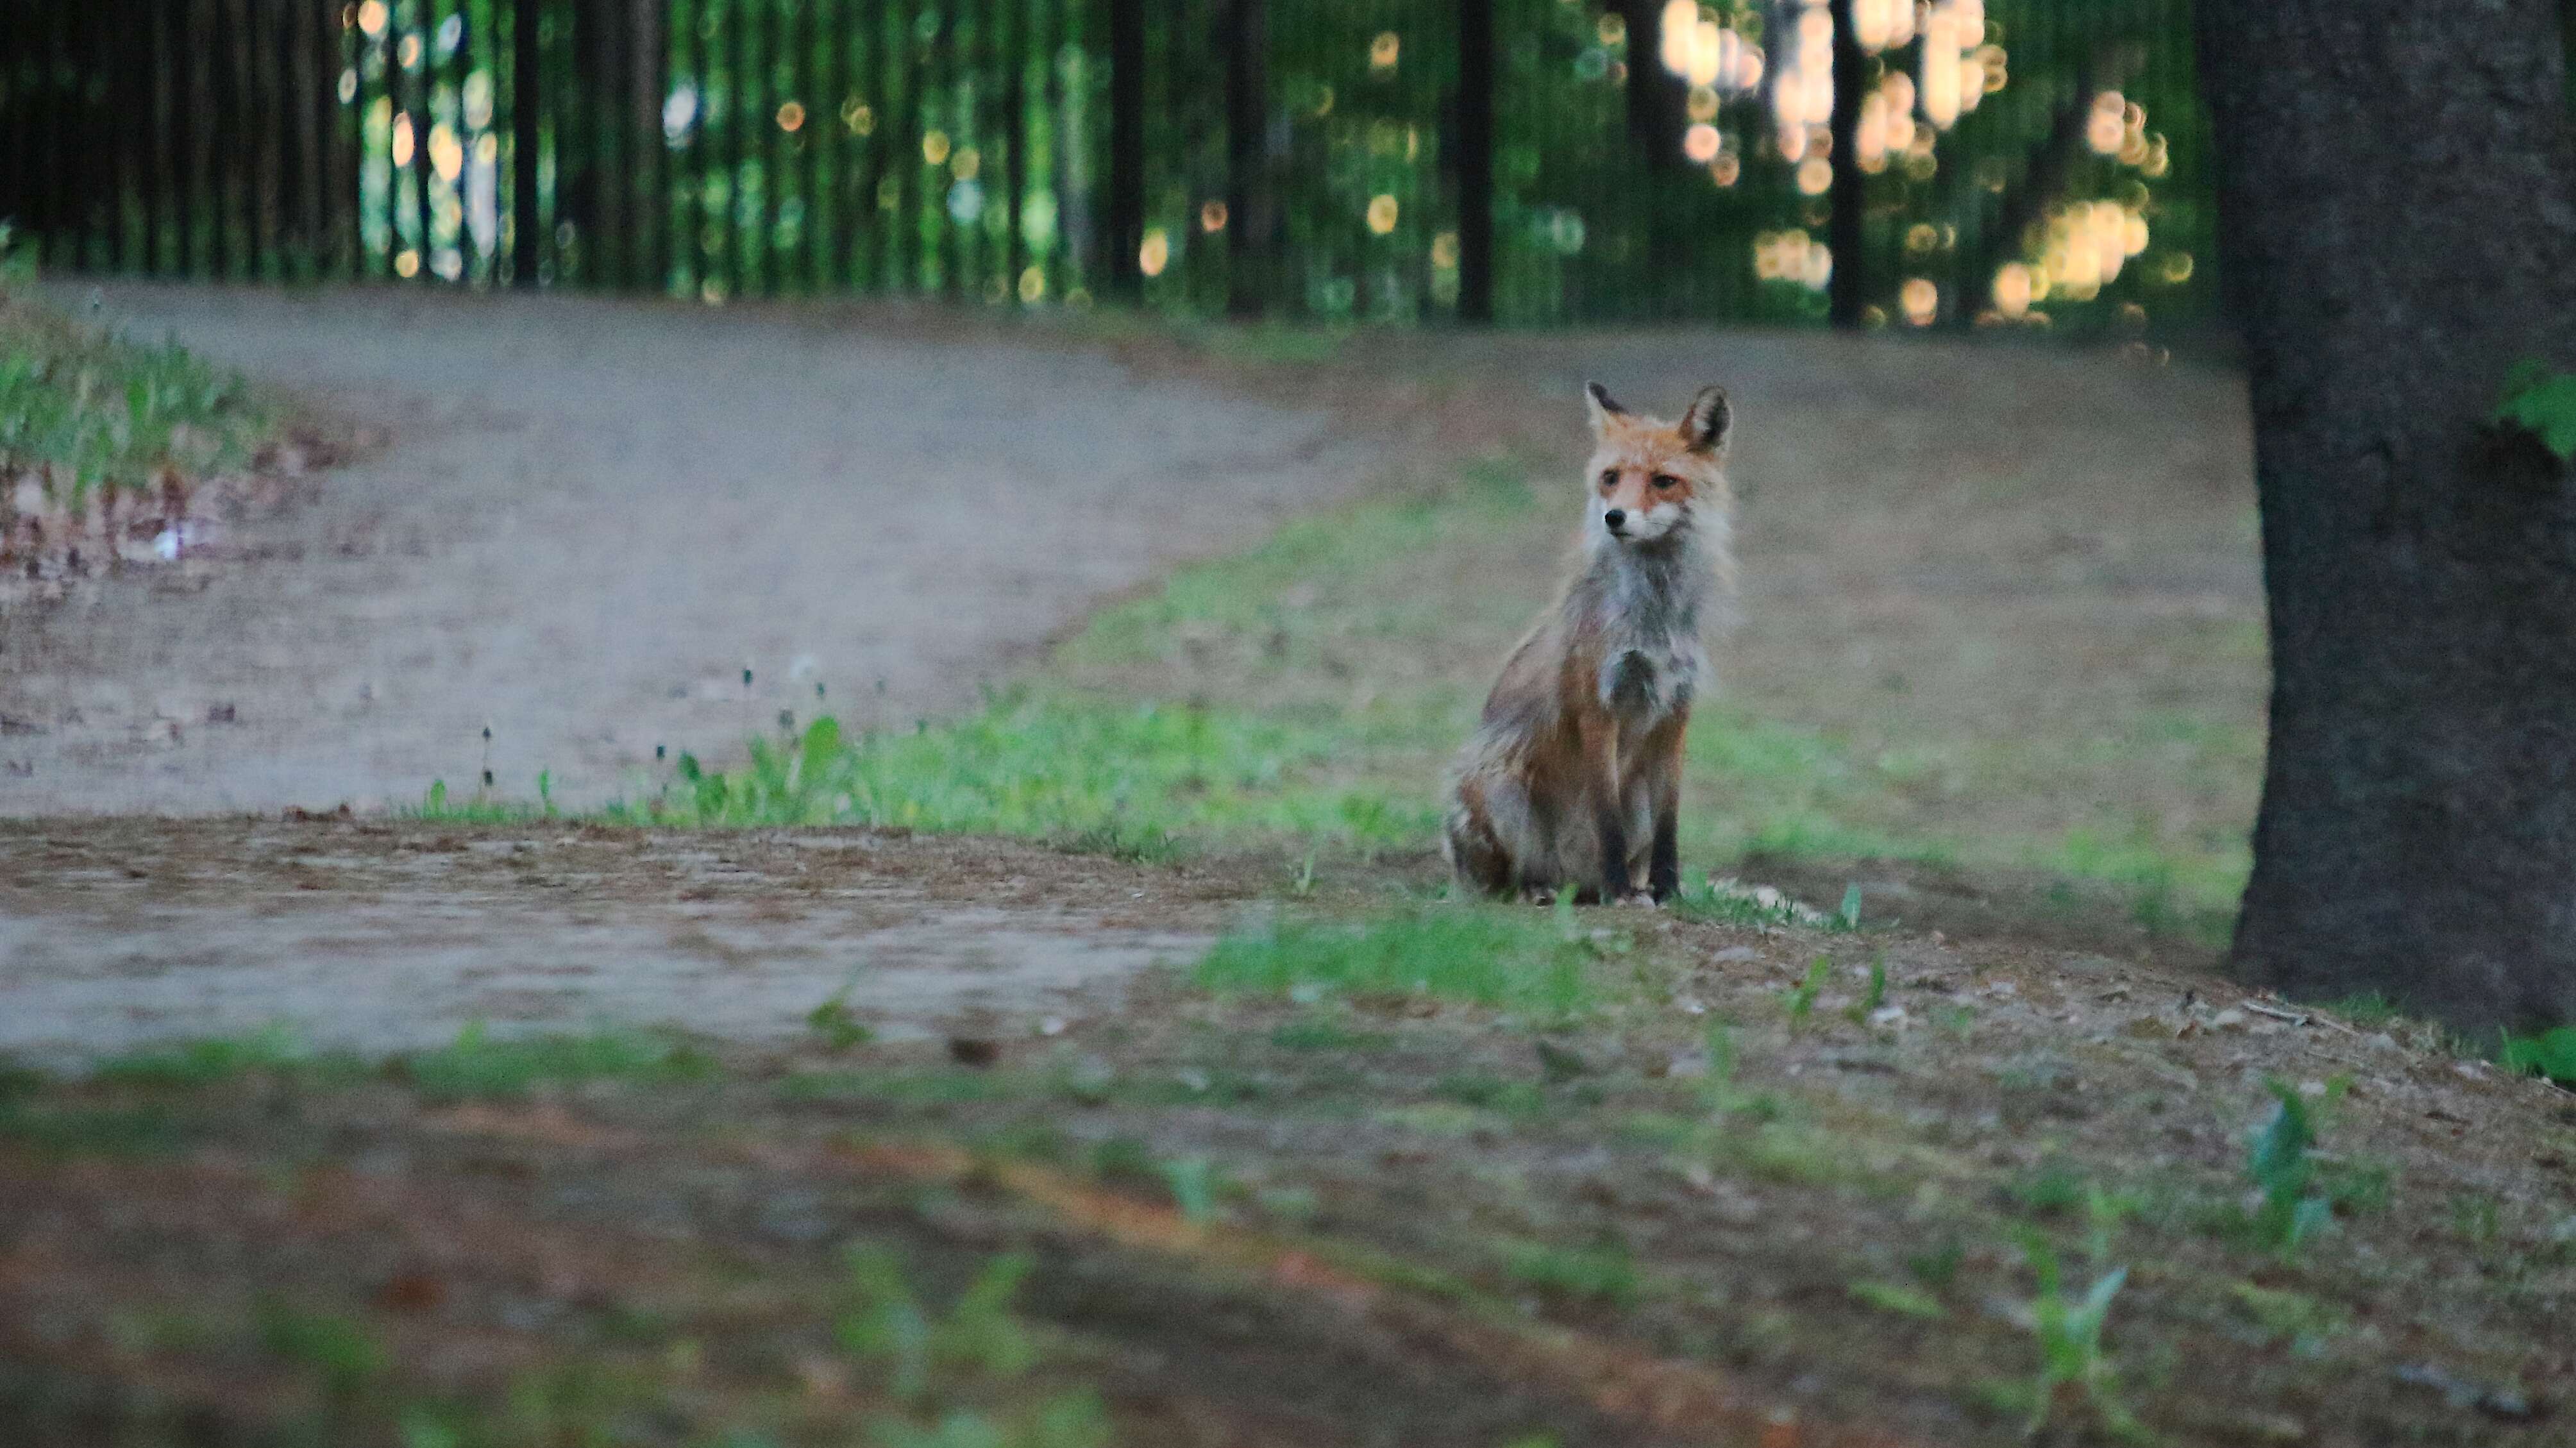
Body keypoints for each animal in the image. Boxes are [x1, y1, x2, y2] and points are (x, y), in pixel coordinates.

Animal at [1452, 383, 1731, 902]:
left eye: (1663, 481)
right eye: (1610, 477)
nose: (1613, 517)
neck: (1651, 622)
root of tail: (1573, 879)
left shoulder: (1676, 710)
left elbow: (1669, 824)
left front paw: (1667, 890)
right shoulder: (1598, 706)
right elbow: (1607, 817)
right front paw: (1618, 891)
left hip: (1634, 795)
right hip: (1500, 785)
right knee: (1506, 880)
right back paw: (1542, 889)